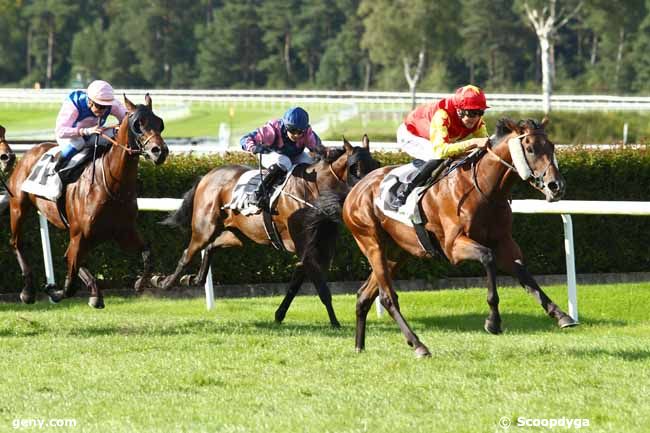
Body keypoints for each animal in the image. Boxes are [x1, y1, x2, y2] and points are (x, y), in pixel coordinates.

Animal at [7, 94, 168, 308]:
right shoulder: (80, 234)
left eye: (160, 123)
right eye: (138, 124)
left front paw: (142, 283)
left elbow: (148, 254)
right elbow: (70, 285)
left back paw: (94, 293)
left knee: (69, 257)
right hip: (18, 207)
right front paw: (54, 291)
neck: (111, 185)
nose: (160, 151)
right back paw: (28, 291)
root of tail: (30, 151)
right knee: (17, 243)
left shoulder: (124, 231)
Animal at [153, 137, 378, 326]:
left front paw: (279, 315)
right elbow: (322, 289)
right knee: (187, 254)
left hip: (237, 235)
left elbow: (296, 283)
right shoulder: (306, 248)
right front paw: (335, 323)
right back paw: (163, 283)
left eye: (375, 165)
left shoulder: (320, 249)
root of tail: (207, 176)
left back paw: (193, 279)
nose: (369, 190)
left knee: (211, 248)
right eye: (355, 168)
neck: (314, 194)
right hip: (205, 228)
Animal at [342, 116, 576, 356]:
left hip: (397, 253)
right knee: (387, 297)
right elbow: (488, 257)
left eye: (552, 146)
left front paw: (561, 315)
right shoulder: (453, 247)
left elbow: (526, 276)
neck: (484, 190)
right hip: (372, 244)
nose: (556, 186)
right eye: (529, 148)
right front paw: (493, 322)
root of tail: (357, 188)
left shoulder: (504, 243)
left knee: (364, 295)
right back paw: (418, 345)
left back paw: (359, 346)